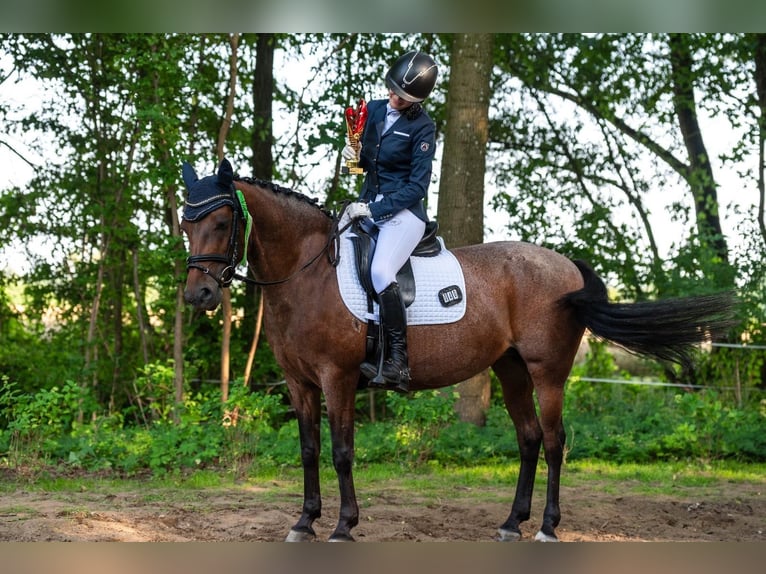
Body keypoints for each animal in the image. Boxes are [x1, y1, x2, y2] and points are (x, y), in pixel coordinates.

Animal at [182, 159, 736, 544]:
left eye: (224, 221)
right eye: (187, 223)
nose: (198, 295)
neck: (309, 271)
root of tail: (568, 266)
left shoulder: (337, 379)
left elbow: (341, 452)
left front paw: (342, 526)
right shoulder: (300, 383)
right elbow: (309, 451)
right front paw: (303, 522)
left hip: (548, 372)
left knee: (554, 442)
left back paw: (547, 527)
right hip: (511, 370)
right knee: (529, 439)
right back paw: (512, 522)